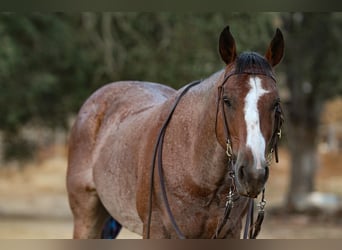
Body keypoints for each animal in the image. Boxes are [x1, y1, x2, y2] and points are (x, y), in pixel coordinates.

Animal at [65, 24, 284, 238]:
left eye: (276, 103)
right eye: (227, 100)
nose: (253, 174)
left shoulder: (230, 232)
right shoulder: (156, 230)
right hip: (86, 217)